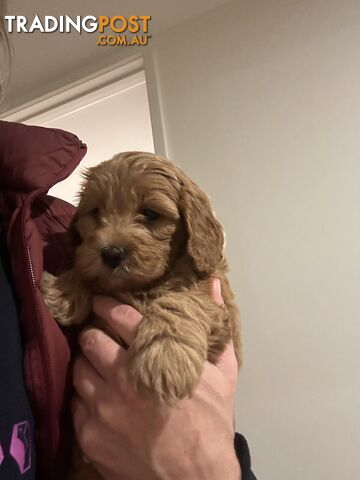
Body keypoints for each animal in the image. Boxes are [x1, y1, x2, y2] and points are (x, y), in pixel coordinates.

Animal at [40, 152, 240, 478]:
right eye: (96, 212)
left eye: (150, 213)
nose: (111, 253)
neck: (142, 286)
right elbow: (87, 271)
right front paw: (64, 291)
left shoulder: (217, 305)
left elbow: (179, 299)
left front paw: (165, 358)